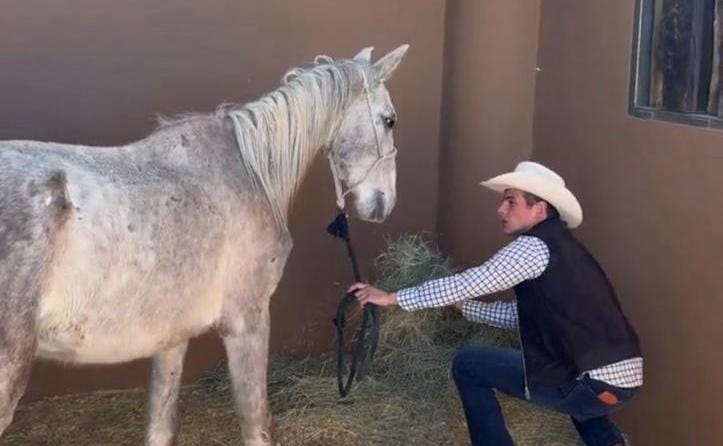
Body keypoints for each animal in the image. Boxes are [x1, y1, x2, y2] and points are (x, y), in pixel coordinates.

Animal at [0, 44, 409, 446]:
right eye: (389, 120)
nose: (384, 203)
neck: (250, 172)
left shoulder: (170, 337)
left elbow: (160, 424)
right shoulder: (247, 320)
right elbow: (255, 422)